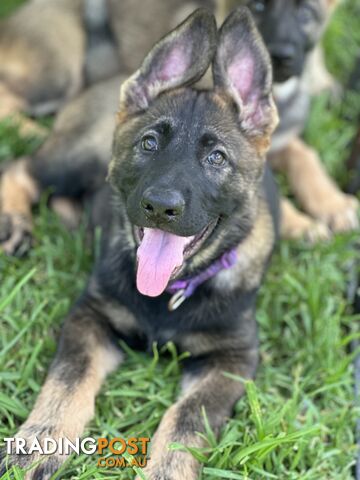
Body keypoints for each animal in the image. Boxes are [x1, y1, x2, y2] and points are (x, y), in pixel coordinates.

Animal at [1, 7, 280, 480]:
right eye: (149, 143)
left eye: (216, 158)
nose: (160, 207)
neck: (165, 297)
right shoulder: (91, 314)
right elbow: (69, 378)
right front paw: (42, 437)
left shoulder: (233, 358)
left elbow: (189, 415)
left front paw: (168, 469)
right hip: (80, 152)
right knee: (23, 168)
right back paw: (15, 221)